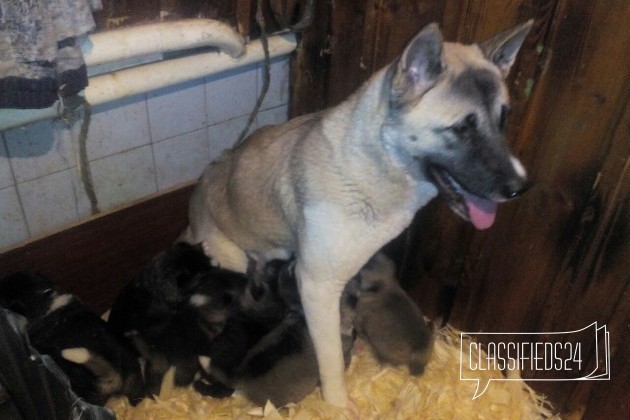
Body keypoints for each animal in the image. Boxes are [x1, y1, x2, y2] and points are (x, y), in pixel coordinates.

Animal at [181, 20, 532, 406]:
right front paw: (337, 403)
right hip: (233, 258)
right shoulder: (317, 288)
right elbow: (332, 357)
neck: (372, 165)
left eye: (503, 119)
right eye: (461, 128)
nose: (521, 187)